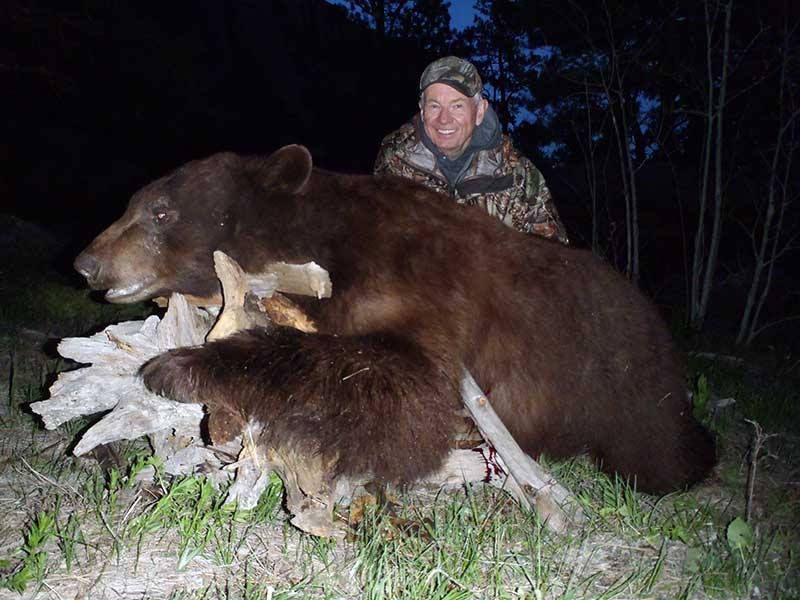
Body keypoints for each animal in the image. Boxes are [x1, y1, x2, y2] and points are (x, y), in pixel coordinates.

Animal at [74, 144, 715, 495]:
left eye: (161, 211)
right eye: (133, 203)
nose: (87, 262)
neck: (323, 241)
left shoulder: (418, 281)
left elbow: (405, 389)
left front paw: (180, 365)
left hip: (627, 383)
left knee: (654, 448)